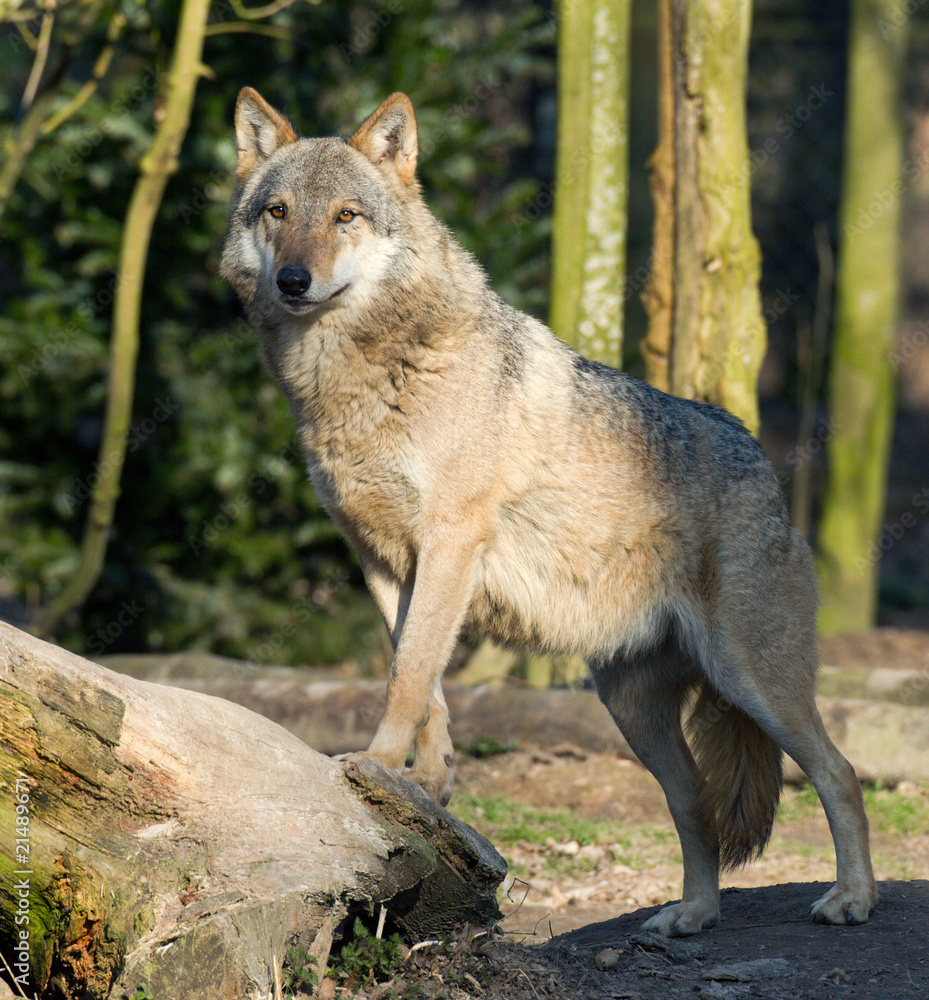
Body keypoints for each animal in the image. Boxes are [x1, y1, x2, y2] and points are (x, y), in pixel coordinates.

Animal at [220, 88, 877, 936]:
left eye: (345, 216)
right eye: (277, 211)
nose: (295, 280)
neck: (355, 379)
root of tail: (765, 466)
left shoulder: (448, 544)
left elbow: (406, 676)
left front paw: (375, 763)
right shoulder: (382, 562)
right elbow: (422, 682)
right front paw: (427, 781)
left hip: (751, 681)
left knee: (839, 772)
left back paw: (852, 898)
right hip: (636, 714)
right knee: (695, 806)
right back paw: (691, 914)